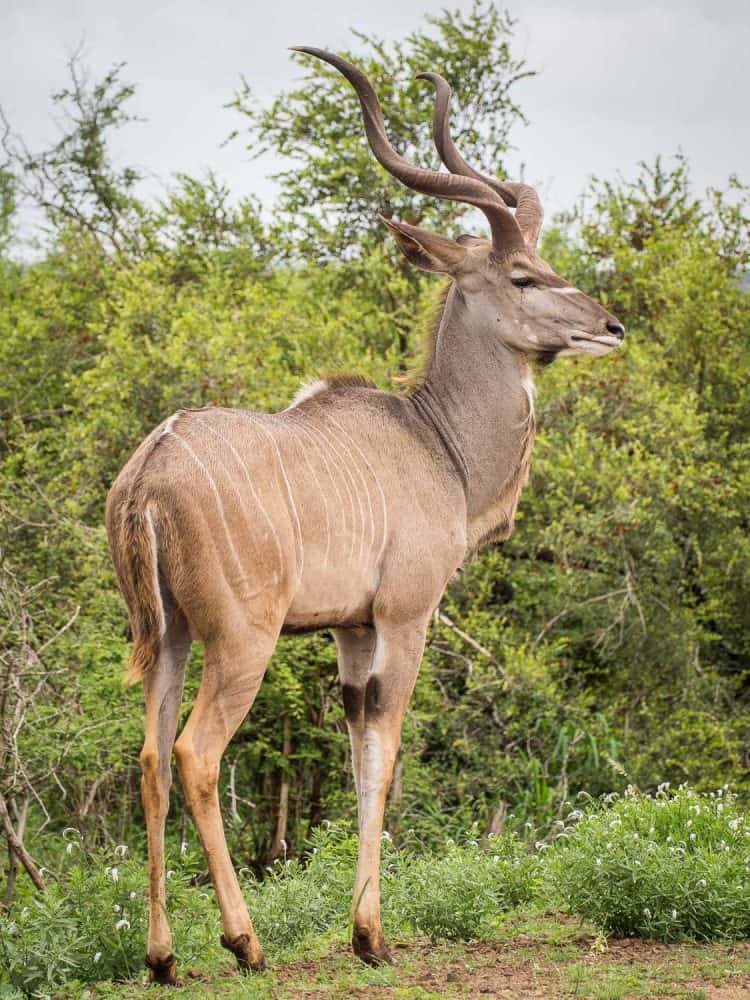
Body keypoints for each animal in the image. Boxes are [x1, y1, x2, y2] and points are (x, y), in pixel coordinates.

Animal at [106, 48, 624, 984]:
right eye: (523, 276)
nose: (611, 325)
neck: (435, 440)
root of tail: (147, 479)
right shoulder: (405, 615)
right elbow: (383, 761)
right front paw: (372, 937)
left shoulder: (348, 629)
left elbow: (355, 758)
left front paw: (361, 929)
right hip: (241, 640)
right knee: (197, 754)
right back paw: (245, 942)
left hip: (167, 638)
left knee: (151, 758)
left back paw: (163, 959)